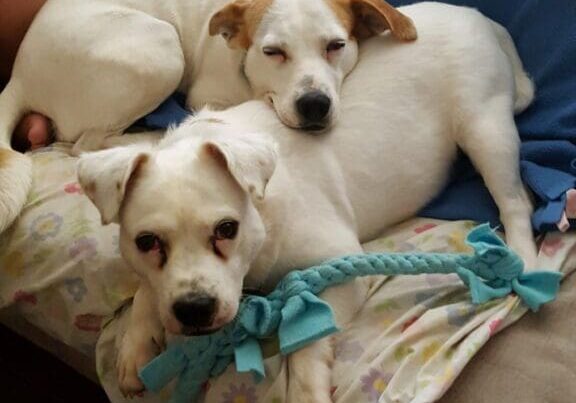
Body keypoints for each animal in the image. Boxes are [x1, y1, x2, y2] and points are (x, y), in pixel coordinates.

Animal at [0, 0, 414, 234]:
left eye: (336, 45)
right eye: (272, 52)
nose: (314, 104)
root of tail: (19, 72)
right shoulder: (209, 97)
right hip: (160, 49)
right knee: (83, 143)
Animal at [76, 3, 536, 403]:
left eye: (227, 229)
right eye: (146, 242)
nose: (194, 309)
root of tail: (477, 17)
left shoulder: (342, 269)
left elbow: (306, 335)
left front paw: (305, 387)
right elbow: (145, 291)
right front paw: (136, 343)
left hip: (485, 130)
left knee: (516, 202)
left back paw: (525, 261)